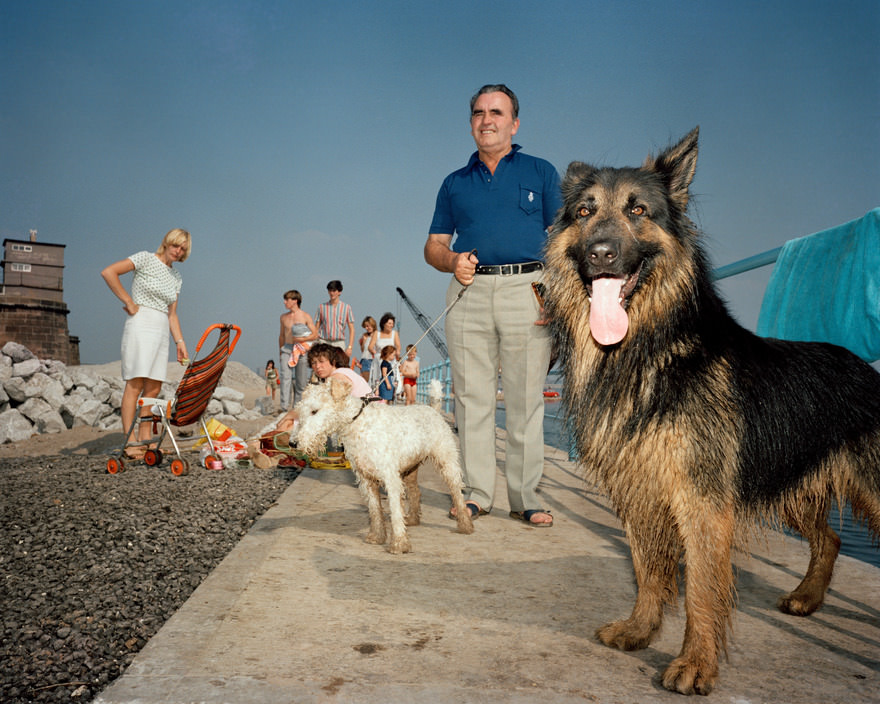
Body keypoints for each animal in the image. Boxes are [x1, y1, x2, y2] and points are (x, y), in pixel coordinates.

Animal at [292, 376, 474, 552]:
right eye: (300, 410)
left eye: (314, 411)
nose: (293, 443)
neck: (357, 423)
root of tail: (433, 409)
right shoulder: (366, 478)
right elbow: (375, 510)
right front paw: (377, 537)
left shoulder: (390, 477)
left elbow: (394, 511)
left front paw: (399, 544)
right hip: (410, 468)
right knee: (416, 492)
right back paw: (413, 519)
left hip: (447, 461)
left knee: (457, 493)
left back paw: (465, 525)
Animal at [544, 125, 880, 692]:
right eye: (585, 212)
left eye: (638, 210)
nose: (601, 253)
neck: (649, 351)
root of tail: (868, 370)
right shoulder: (639, 490)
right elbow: (648, 570)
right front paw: (640, 629)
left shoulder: (701, 501)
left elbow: (701, 587)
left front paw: (696, 663)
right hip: (790, 482)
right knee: (831, 538)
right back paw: (807, 597)